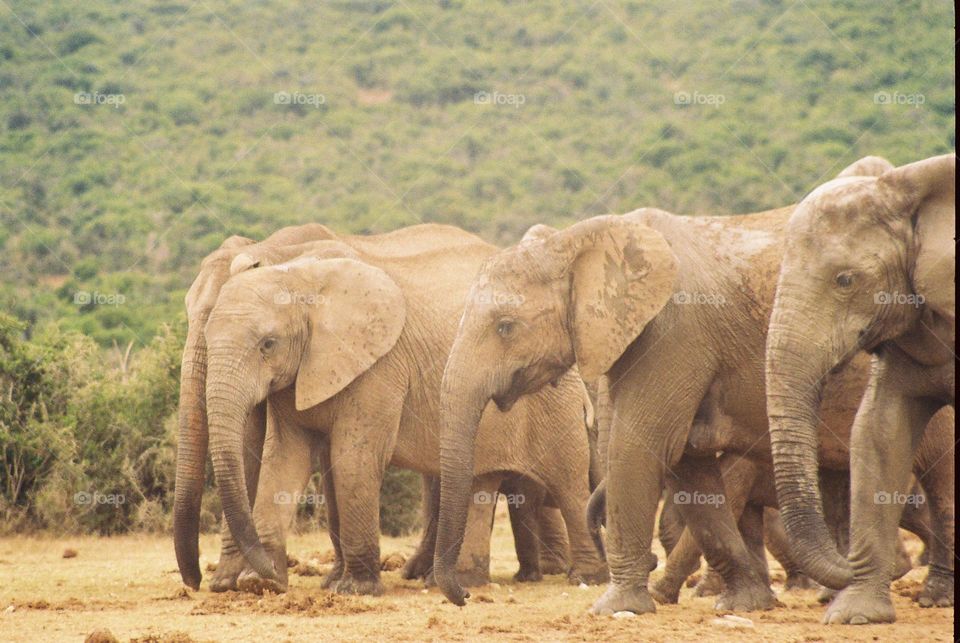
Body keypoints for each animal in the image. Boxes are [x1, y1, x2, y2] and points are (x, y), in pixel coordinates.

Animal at [174, 224, 584, 592]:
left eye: (268, 344)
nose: (194, 582)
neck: (287, 262)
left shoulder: (379, 364)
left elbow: (353, 456)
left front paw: (353, 588)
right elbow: (283, 456)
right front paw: (257, 583)